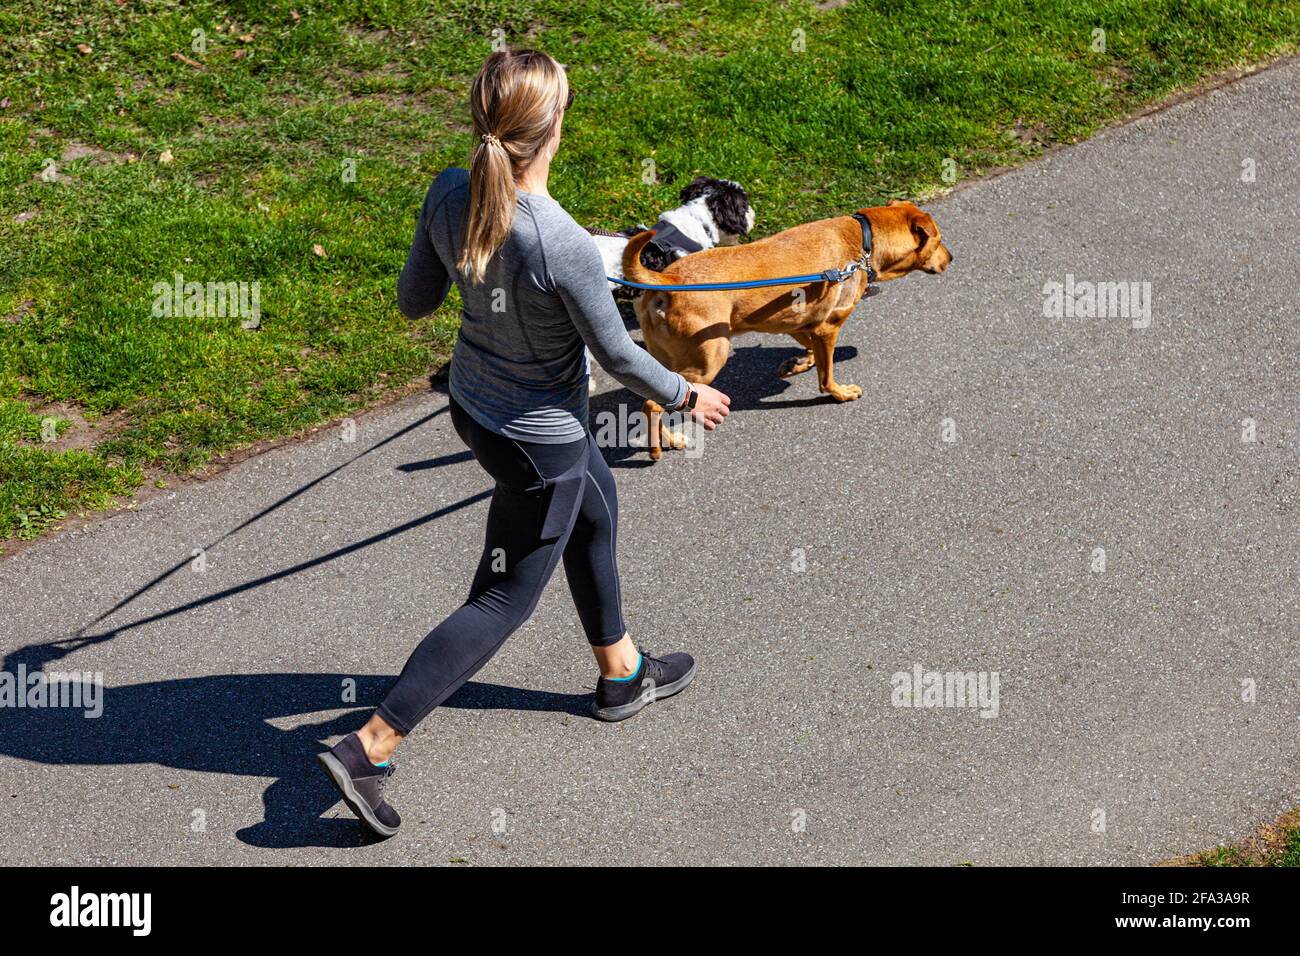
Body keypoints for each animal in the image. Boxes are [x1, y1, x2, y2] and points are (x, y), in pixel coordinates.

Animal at [624, 199, 951, 460]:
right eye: (938, 241)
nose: (952, 258)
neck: (863, 241)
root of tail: (668, 280)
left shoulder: (797, 322)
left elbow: (810, 349)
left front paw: (799, 363)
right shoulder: (828, 327)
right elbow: (826, 376)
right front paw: (839, 393)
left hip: (665, 361)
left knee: (658, 394)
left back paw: (669, 439)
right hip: (709, 361)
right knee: (654, 404)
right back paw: (656, 448)